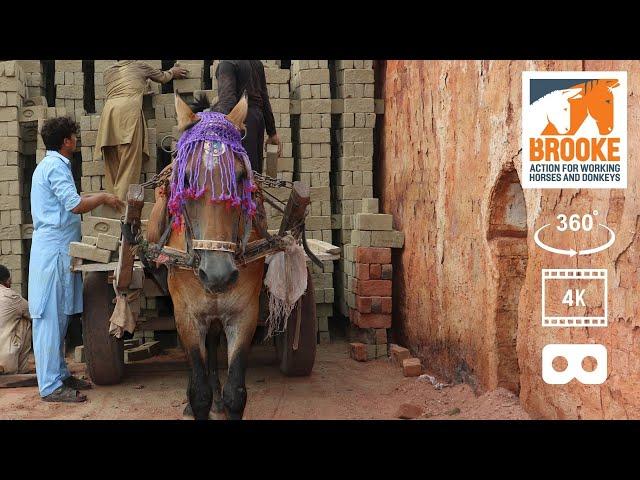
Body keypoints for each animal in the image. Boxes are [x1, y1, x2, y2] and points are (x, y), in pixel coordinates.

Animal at [151, 94, 266, 420]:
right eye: (187, 179)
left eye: (240, 176)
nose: (218, 274)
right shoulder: (187, 314)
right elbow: (198, 390)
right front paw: (196, 401)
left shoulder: (244, 312)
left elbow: (235, 394)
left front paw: (222, 398)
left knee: (213, 343)